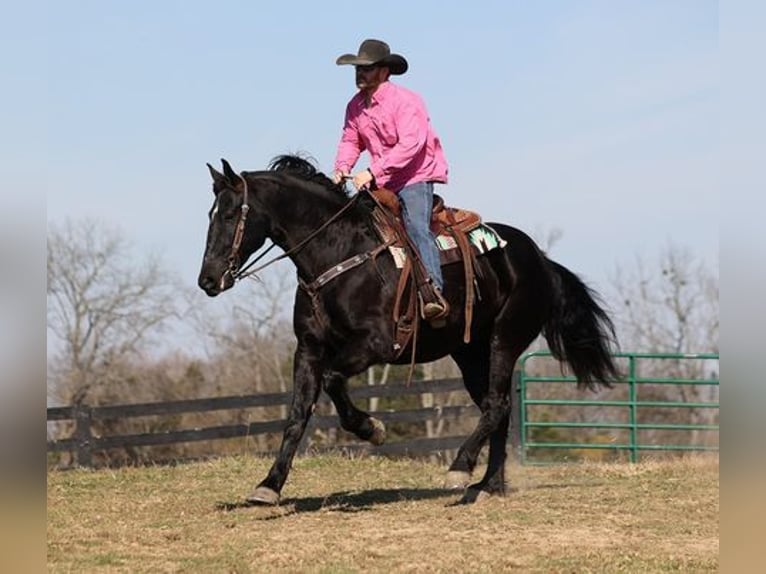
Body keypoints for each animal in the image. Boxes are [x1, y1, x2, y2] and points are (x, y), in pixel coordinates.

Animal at [198, 155, 616, 506]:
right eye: (211, 214)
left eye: (231, 214)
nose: (208, 280)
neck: (338, 254)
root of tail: (539, 259)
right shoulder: (309, 350)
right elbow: (298, 414)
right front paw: (269, 485)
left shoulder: (376, 344)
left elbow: (334, 382)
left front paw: (372, 429)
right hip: (469, 352)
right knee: (497, 407)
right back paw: (487, 485)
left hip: (504, 339)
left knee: (497, 404)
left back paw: (460, 469)